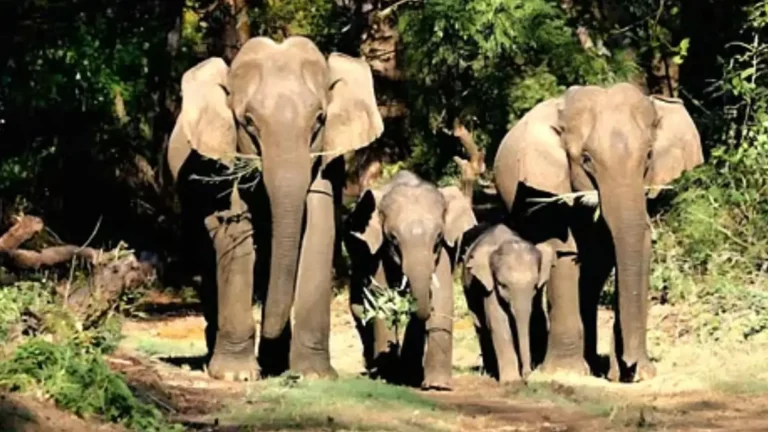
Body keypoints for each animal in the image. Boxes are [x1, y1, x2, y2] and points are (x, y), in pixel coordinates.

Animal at [166, 36, 384, 381]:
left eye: (319, 119)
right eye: (248, 122)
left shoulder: (328, 161)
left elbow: (319, 230)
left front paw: (313, 375)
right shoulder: (221, 159)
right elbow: (234, 234)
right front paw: (237, 375)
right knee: (207, 258)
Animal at [344, 170, 476, 390]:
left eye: (438, 237)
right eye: (393, 239)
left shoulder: (443, 252)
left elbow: (442, 297)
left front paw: (437, 386)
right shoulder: (378, 251)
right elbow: (380, 303)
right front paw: (388, 374)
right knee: (359, 309)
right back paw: (376, 369)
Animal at [463, 224, 554, 383]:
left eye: (534, 285)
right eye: (502, 285)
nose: (527, 375)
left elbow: (538, 316)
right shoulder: (487, 286)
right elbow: (498, 320)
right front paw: (511, 381)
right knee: (480, 326)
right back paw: (490, 371)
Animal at [494, 82, 703, 382]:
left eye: (649, 156)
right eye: (586, 160)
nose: (629, 367)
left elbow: (639, 249)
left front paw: (639, 374)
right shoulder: (552, 186)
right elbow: (564, 252)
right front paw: (566, 372)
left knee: (592, 280)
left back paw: (592, 362)